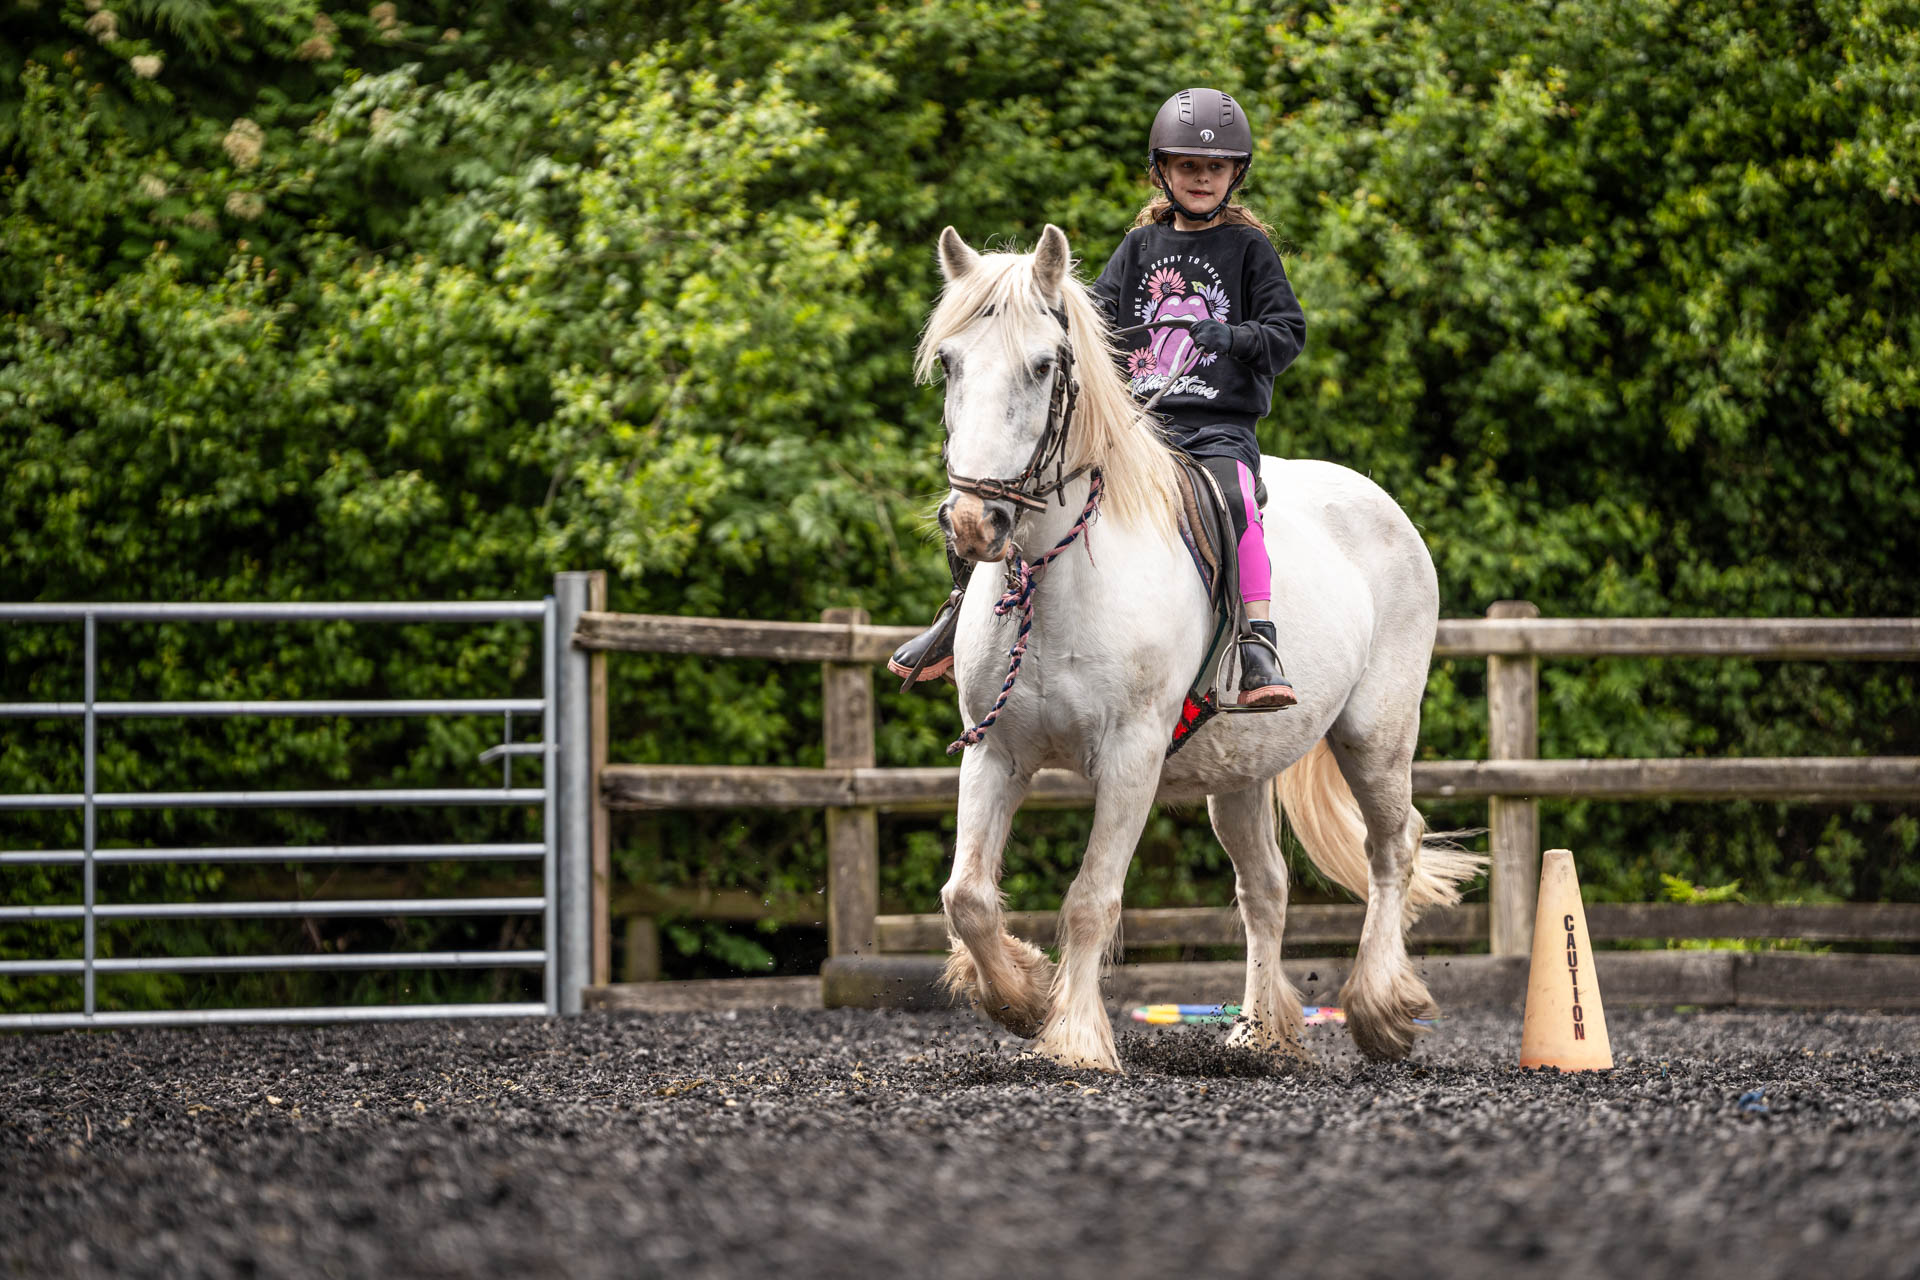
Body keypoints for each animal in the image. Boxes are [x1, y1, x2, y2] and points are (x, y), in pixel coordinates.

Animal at [922, 223, 1484, 1073]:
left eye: (1043, 365)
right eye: (951, 363)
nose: (972, 524)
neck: (1060, 579)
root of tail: (1379, 502)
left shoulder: (1131, 758)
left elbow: (1090, 900)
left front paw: (1075, 1040)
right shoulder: (997, 752)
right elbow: (967, 896)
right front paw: (1019, 997)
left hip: (1376, 737)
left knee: (1393, 849)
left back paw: (1381, 1010)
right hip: (1241, 770)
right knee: (1267, 887)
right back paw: (1259, 1032)